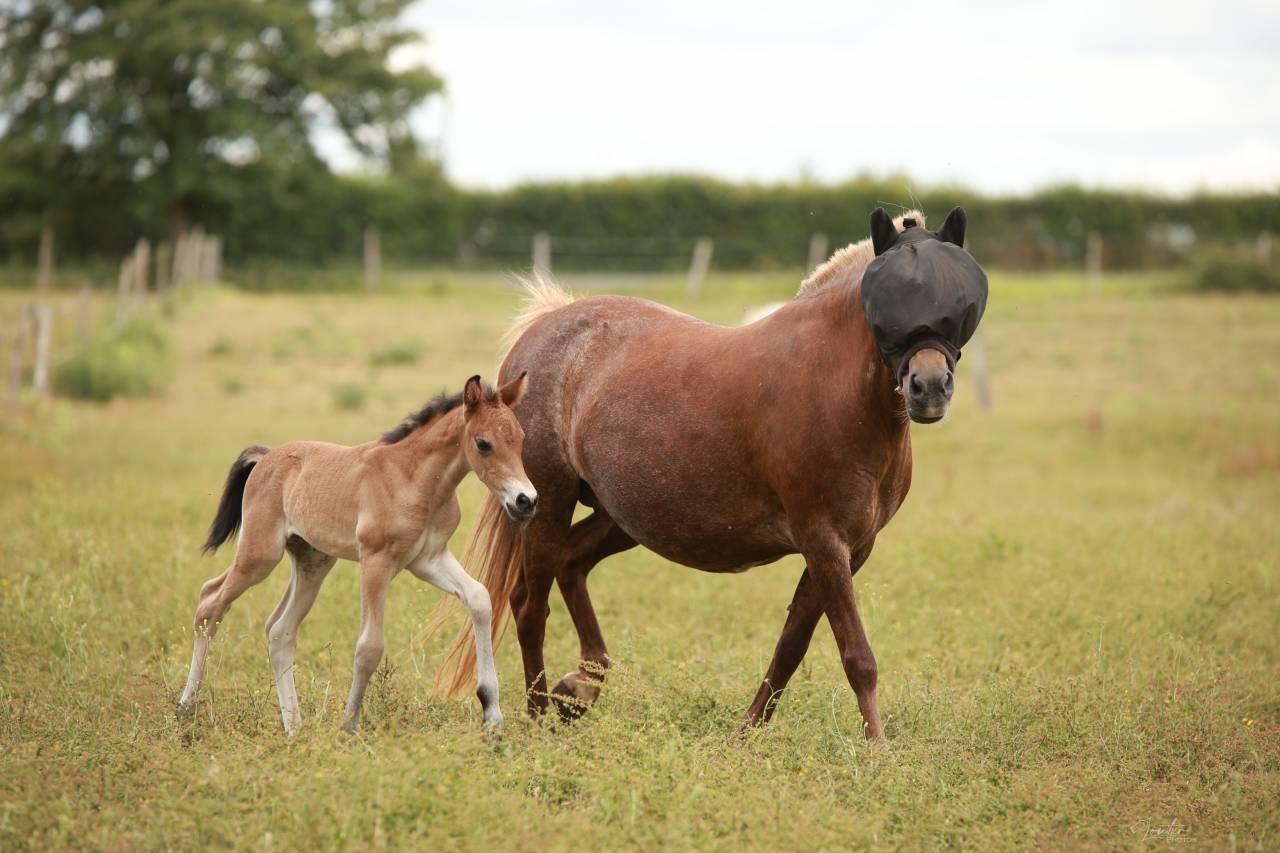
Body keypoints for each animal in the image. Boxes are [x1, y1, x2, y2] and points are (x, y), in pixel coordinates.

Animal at [176, 374, 536, 735]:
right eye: (483, 443)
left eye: (520, 438)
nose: (526, 501)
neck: (414, 479)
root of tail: (265, 457)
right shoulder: (376, 561)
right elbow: (369, 646)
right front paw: (348, 726)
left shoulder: (429, 559)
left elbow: (479, 598)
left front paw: (492, 713)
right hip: (260, 554)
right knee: (210, 601)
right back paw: (185, 708)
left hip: (312, 561)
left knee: (280, 631)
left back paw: (294, 727)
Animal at [439, 207, 988, 742]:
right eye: (889, 304)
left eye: (959, 296)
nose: (929, 388)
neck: (836, 390)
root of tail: (541, 330)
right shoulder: (824, 540)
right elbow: (857, 656)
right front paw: (876, 748)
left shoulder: (850, 549)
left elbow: (792, 646)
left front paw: (746, 733)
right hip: (548, 504)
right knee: (530, 605)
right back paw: (538, 716)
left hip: (623, 517)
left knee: (571, 564)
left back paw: (580, 687)